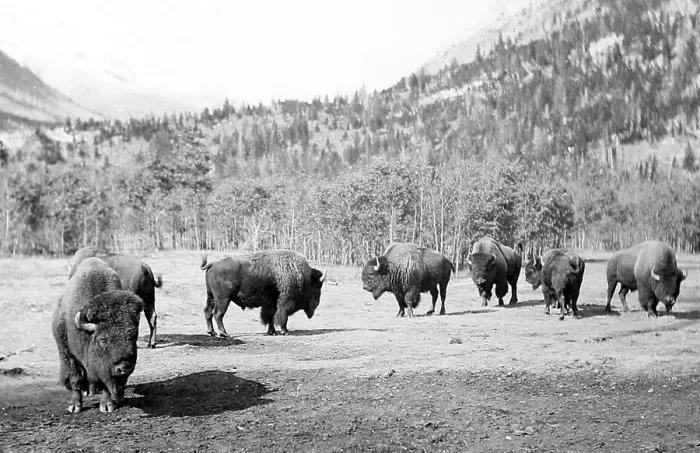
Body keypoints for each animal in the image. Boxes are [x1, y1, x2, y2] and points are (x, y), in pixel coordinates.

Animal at [52, 257, 143, 413]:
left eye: (133, 335)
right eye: (102, 340)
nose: (124, 367)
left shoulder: (105, 371)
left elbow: (105, 384)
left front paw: (107, 405)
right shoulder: (67, 353)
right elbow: (75, 377)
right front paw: (74, 406)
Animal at [201, 250, 329, 336]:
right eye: (316, 288)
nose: (317, 303)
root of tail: (213, 264)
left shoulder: (270, 303)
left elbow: (270, 317)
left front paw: (272, 332)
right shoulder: (284, 302)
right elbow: (282, 316)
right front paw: (285, 331)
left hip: (211, 297)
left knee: (208, 312)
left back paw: (212, 332)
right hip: (223, 299)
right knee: (218, 314)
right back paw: (224, 334)